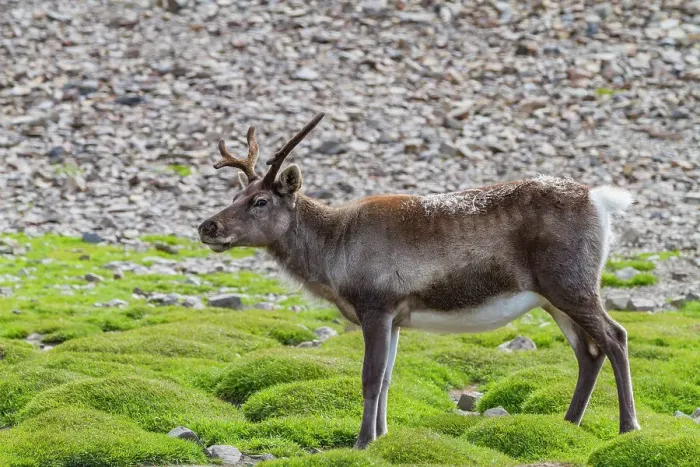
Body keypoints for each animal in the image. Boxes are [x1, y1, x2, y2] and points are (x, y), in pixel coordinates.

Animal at [198, 112, 640, 449]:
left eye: (260, 201)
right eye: (237, 195)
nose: (208, 227)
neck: (333, 250)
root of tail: (600, 200)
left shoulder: (376, 306)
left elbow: (371, 378)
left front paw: (362, 442)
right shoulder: (395, 318)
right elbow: (388, 378)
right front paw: (381, 436)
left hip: (573, 285)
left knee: (614, 336)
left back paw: (628, 427)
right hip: (553, 297)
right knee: (589, 352)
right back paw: (568, 423)